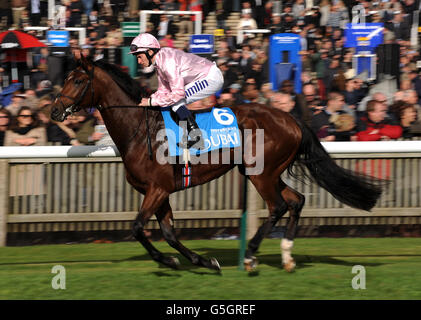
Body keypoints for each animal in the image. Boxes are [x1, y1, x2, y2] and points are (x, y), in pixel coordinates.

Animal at [50, 57, 382, 272]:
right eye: (65, 78)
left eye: (77, 80)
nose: (54, 111)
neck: (138, 130)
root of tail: (292, 119)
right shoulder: (159, 192)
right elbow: (169, 233)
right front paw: (202, 260)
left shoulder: (157, 189)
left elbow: (138, 228)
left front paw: (171, 261)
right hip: (263, 172)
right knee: (296, 200)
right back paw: (287, 256)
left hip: (261, 174)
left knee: (277, 206)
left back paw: (250, 255)